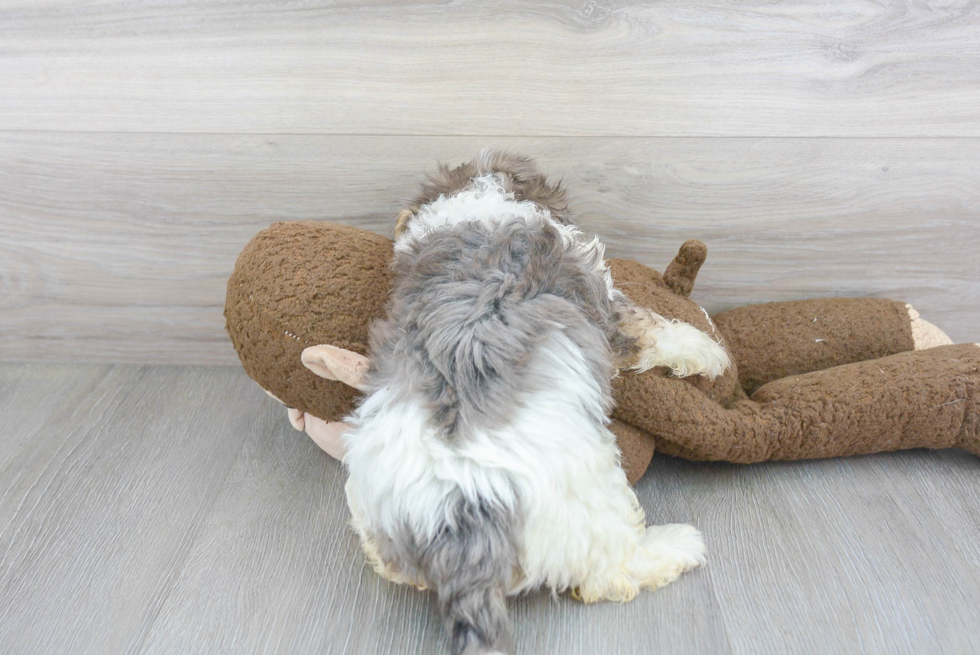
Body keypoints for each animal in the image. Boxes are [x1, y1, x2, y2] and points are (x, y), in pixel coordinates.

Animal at [340, 151, 724, 655]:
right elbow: (654, 327)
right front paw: (710, 351)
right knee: (608, 574)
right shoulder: (605, 304)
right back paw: (678, 545)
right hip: (594, 493)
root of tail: (459, 513)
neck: (477, 202)